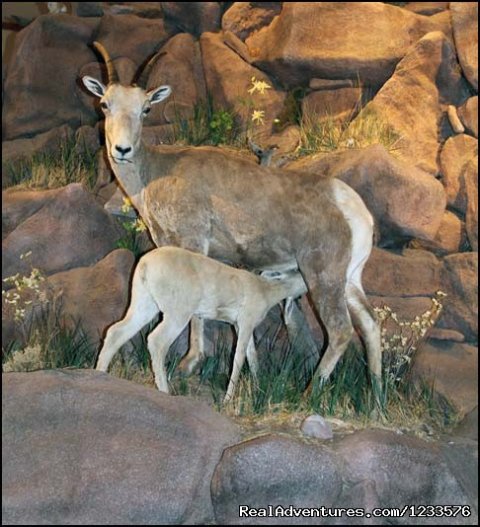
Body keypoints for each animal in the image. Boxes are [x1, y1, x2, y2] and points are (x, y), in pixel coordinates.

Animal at [97, 245, 308, 402]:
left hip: (144, 302)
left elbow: (251, 355)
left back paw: (100, 373)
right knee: (156, 341)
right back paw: (165, 391)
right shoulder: (247, 319)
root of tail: (145, 265)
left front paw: (257, 386)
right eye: (298, 271)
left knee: (116, 331)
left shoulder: (239, 324)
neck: (267, 291)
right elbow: (238, 358)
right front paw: (228, 399)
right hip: (177, 311)